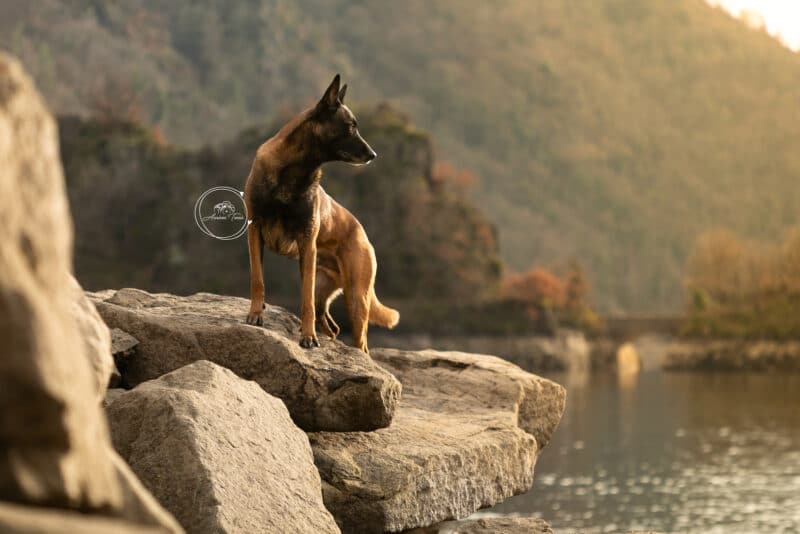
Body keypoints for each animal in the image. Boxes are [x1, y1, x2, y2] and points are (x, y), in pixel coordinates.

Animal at [241, 73, 396, 354]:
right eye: (350, 126)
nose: (373, 154)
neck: (293, 170)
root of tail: (362, 231)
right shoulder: (255, 230)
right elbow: (258, 279)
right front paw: (255, 314)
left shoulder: (306, 243)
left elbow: (305, 302)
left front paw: (307, 337)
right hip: (328, 291)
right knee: (333, 328)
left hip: (356, 298)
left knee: (359, 341)